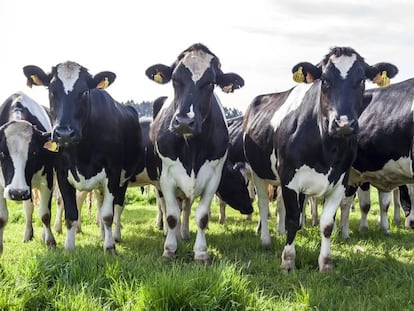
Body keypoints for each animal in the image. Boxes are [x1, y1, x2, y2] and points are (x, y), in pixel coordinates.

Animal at [0, 92, 56, 254]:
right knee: (28, 207)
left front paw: (50, 242)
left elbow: (45, 214)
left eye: (34, 154)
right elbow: (2, 217)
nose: (17, 193)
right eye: (1, 154)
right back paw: (27, 234)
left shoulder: (48, 180)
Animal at [23, 61, 146, 254]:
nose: (64, 133)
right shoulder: (62, 174)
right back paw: (102, 234)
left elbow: (108, 215)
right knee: (100, 203)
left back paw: (115, 236)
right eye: (51, 90)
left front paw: (110, 247)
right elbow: (71, 214)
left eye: (84, 92)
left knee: (118, 207)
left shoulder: (113, 173)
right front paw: (69, 247)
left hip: (124, 179)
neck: (82, 153)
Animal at [145, 43, 244, 264]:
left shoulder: (213, 176)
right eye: (174, 79)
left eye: (210, 83)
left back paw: (184, 234)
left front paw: (200, 252)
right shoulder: (166, 176)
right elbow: (171, 215)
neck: (191, 146)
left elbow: (202, 216)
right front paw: (169, 249)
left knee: (187, 207)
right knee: (168, 207)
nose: (184, 121)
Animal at [243, 47, 398, 272]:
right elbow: (291, 220)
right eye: (324, 81)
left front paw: (325, 262)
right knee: (263, 204)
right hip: (258, 172)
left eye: (361, 81)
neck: (326, 149)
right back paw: (265, 240)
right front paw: (287, 261)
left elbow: (326, 224)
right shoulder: (288, 178)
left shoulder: (340, 181)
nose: (344, 124)